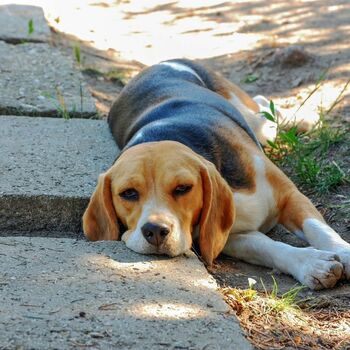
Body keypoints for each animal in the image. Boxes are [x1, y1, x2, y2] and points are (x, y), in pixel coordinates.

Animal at [82, 59, 350, 290]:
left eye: (183, 188)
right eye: (128, 193)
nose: (155, 231)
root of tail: (155, 65)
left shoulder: (290, 196)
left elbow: (318, 229)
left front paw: (344, 252)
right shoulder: (230, 235)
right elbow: (267, 247)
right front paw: (310, 263)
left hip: (257, 123)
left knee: (265, 107)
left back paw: (306, 120)